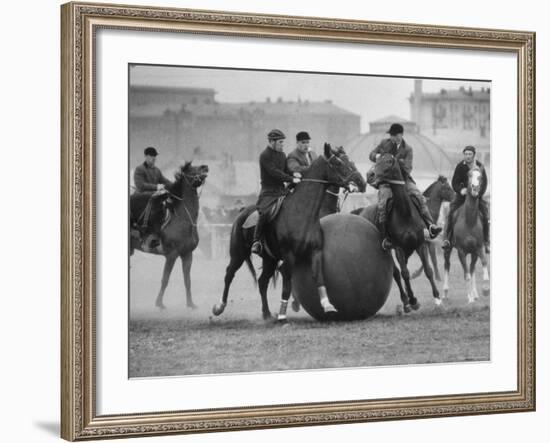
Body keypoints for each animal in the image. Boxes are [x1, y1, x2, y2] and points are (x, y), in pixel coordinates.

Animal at [130, 161, 210, 310]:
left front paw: (190, 304)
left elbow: (187, 280)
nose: (205, 167)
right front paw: (159, 303)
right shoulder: (172, 255)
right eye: (191, 169)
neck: (182, 218)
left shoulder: (187, 254)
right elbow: (165, 279)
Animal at [213, 146, 364, 322]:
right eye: (338, 162)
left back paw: (266, 313)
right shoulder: (289, 256)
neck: (302, 212)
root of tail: (241, 211)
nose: (361, 182)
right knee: (229, 275)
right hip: (238, 254)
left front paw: (328, 306)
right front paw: (283, 314)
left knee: (262, 281)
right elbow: (286, 285)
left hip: (269, 259)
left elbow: (319, 277)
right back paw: (219, 307)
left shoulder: (315, 252)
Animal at [358, 154, 444, 314]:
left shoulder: (420, 244)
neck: (405, 213)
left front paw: (437, 299)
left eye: (388, 161)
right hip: (389, 250)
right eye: (376, 160)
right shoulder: (398, 248)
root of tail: (362, 212)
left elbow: (428, 270)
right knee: (397, 273)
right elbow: (404, 273)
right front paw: (413, 301)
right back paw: (405, 302)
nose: (370, 175)